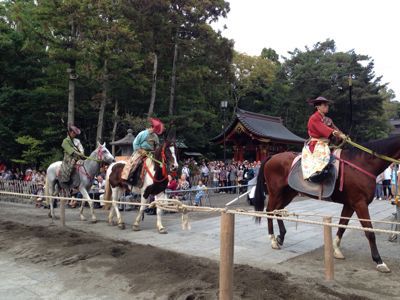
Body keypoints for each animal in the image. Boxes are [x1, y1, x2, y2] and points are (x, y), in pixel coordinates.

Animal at [255, 135, 400, 272]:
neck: (363, 165)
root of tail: (272, 156)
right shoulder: (360, 204)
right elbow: (370, 232)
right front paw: (379, 261)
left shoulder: (350, 204)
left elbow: (342, 226)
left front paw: (336, 249)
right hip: (275, 192)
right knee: (270, 210)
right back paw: (273, 239)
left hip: (289, 193)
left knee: (278, 210)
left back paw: (281, 236)